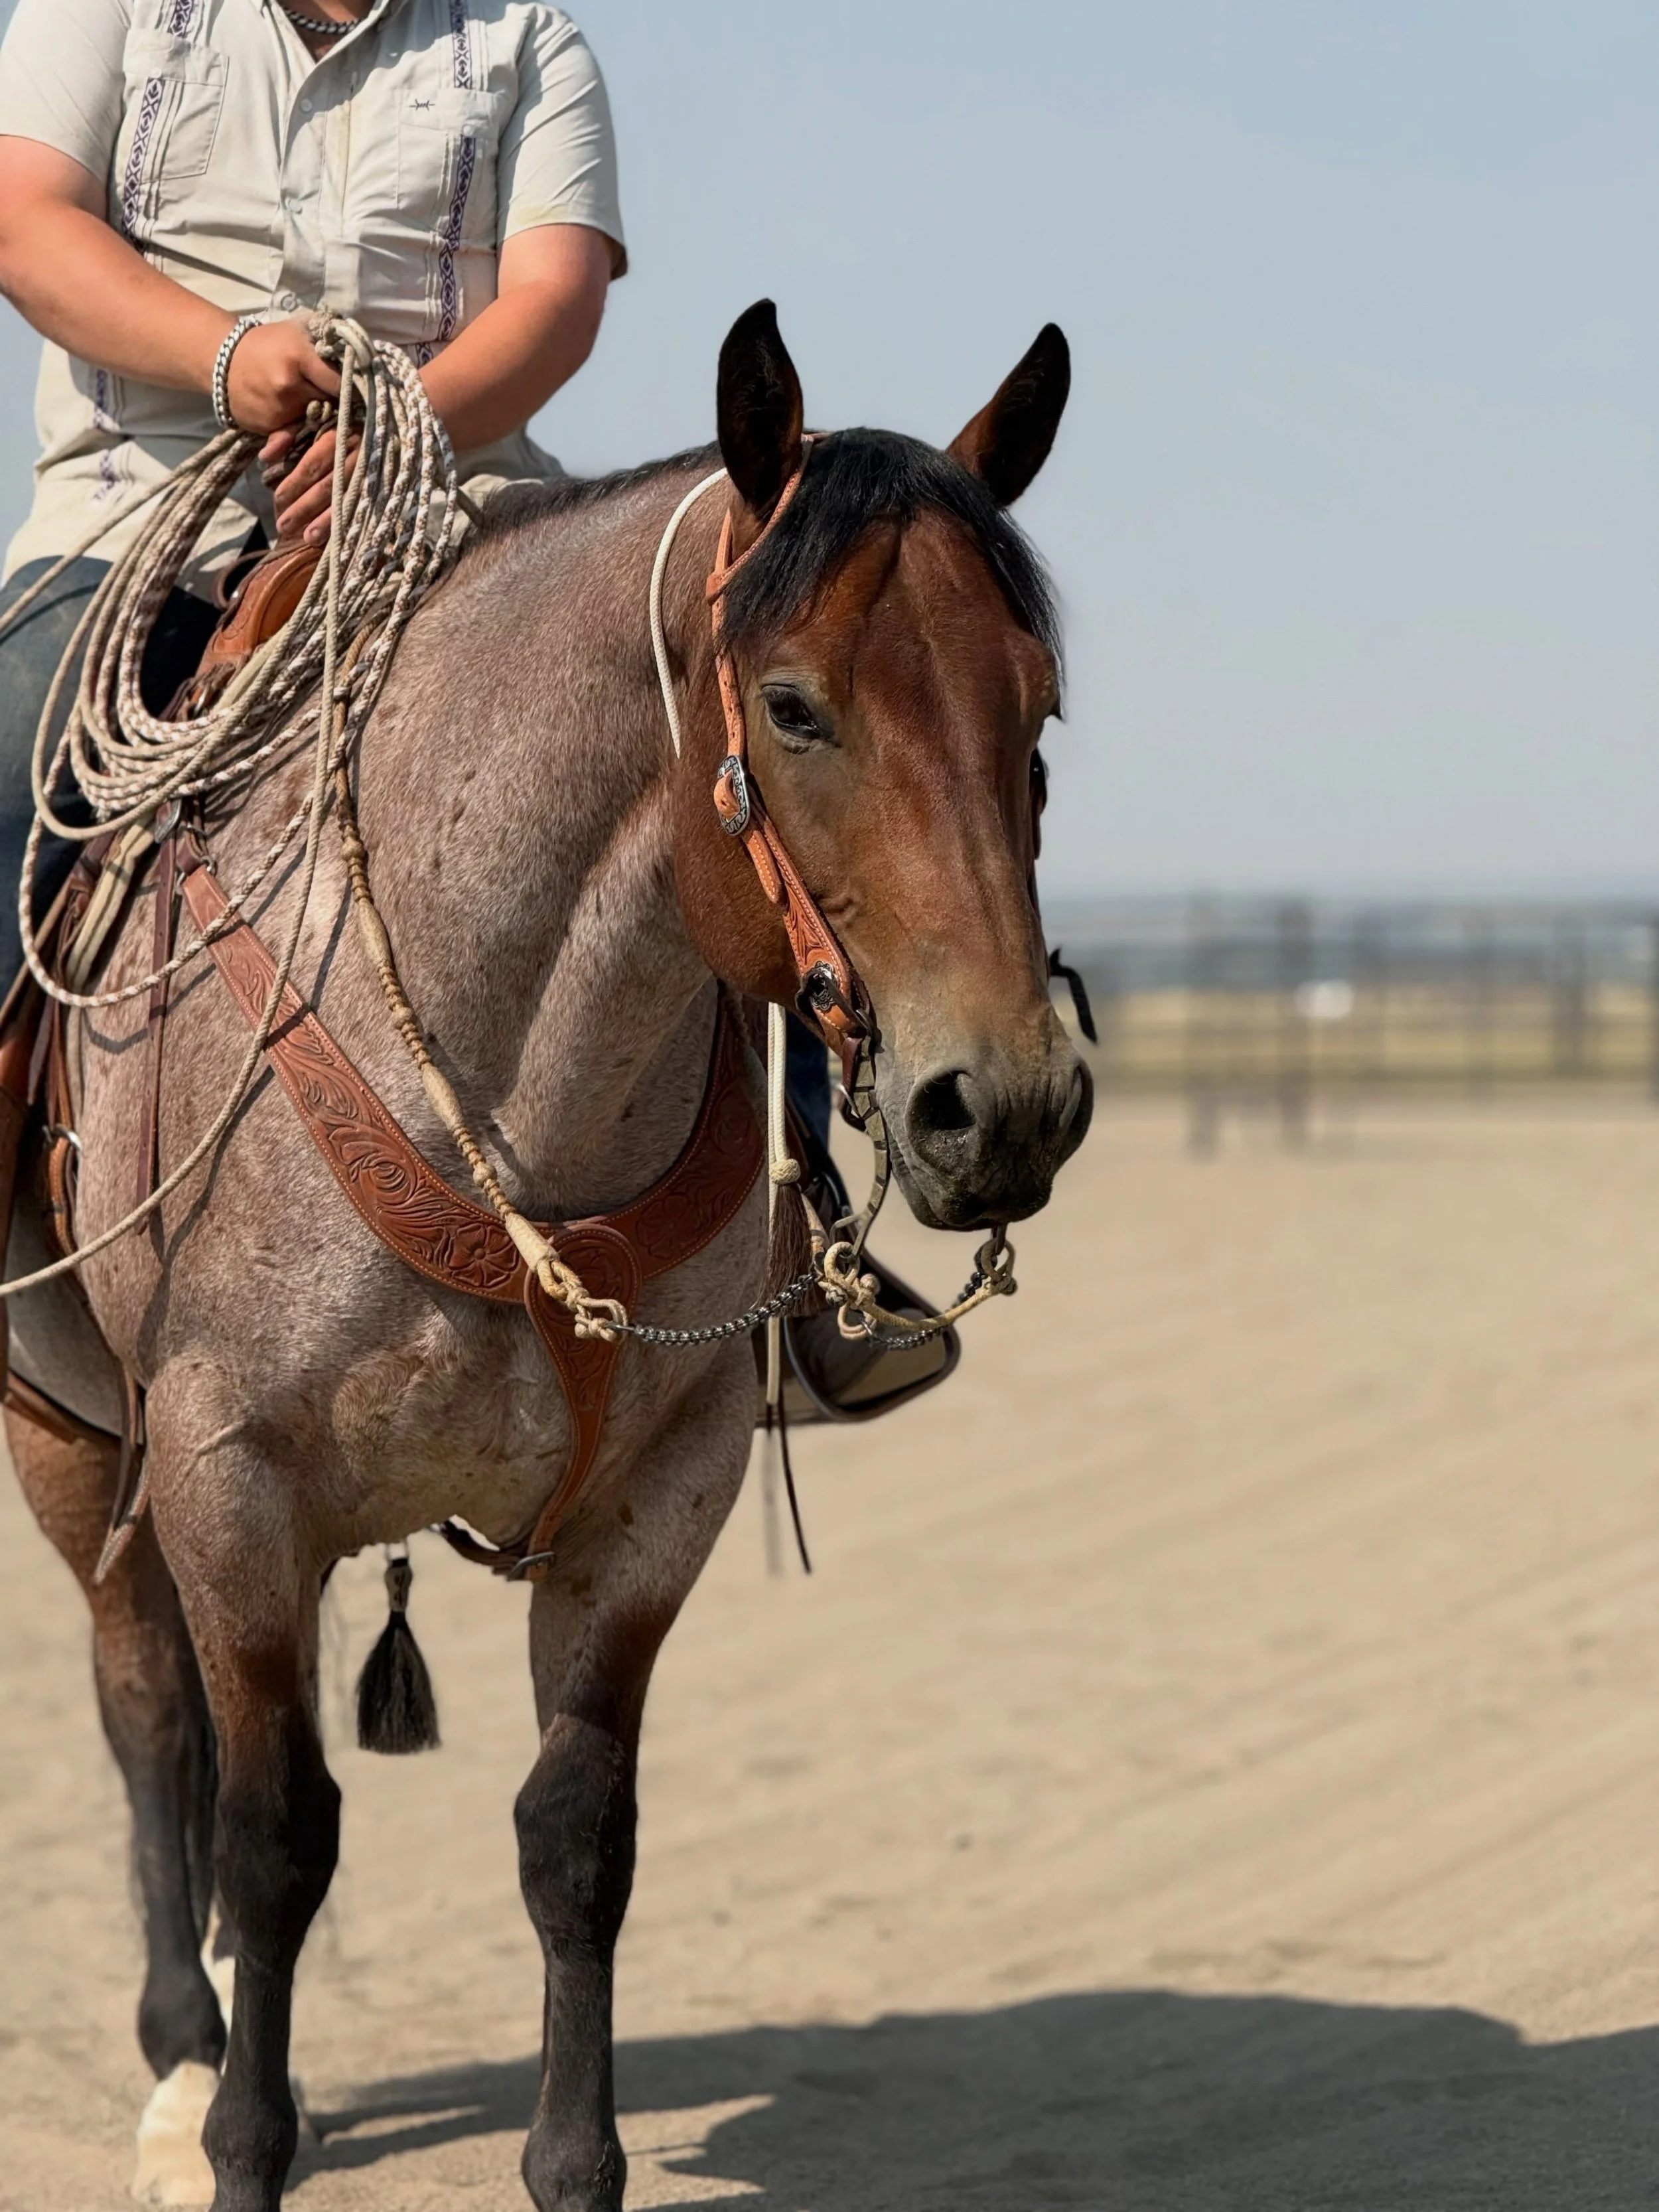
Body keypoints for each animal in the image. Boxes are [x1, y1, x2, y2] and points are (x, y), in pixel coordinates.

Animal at [5, 300, 1090, 2211]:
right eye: (793, 706)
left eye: (1035, 713)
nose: (1006, 1102)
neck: (505, 1079)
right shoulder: (228, 1476)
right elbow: (271, 1834)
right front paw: (237, 2139)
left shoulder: (654, 1501)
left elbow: (575, 1836)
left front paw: (573, 2164)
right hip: (75, 1443)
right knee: (154, 1720)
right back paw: (180, 2060)